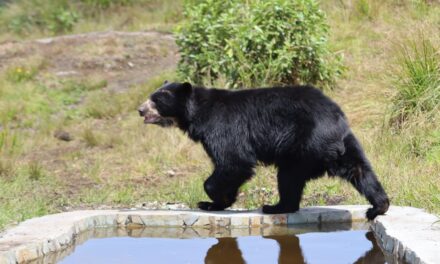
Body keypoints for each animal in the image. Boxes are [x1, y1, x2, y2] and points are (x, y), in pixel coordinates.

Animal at [139, 81, 390, 220]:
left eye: (157, 100)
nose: (140, 109)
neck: (197, 112)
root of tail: (335, 122)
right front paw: (218, 201)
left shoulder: (221, 126)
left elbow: (233, 161)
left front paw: (213, 199)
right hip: (346, 144)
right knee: (359, 170)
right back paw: (378, 206)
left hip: (303, 146)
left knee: (288, 176)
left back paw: (274, 207)